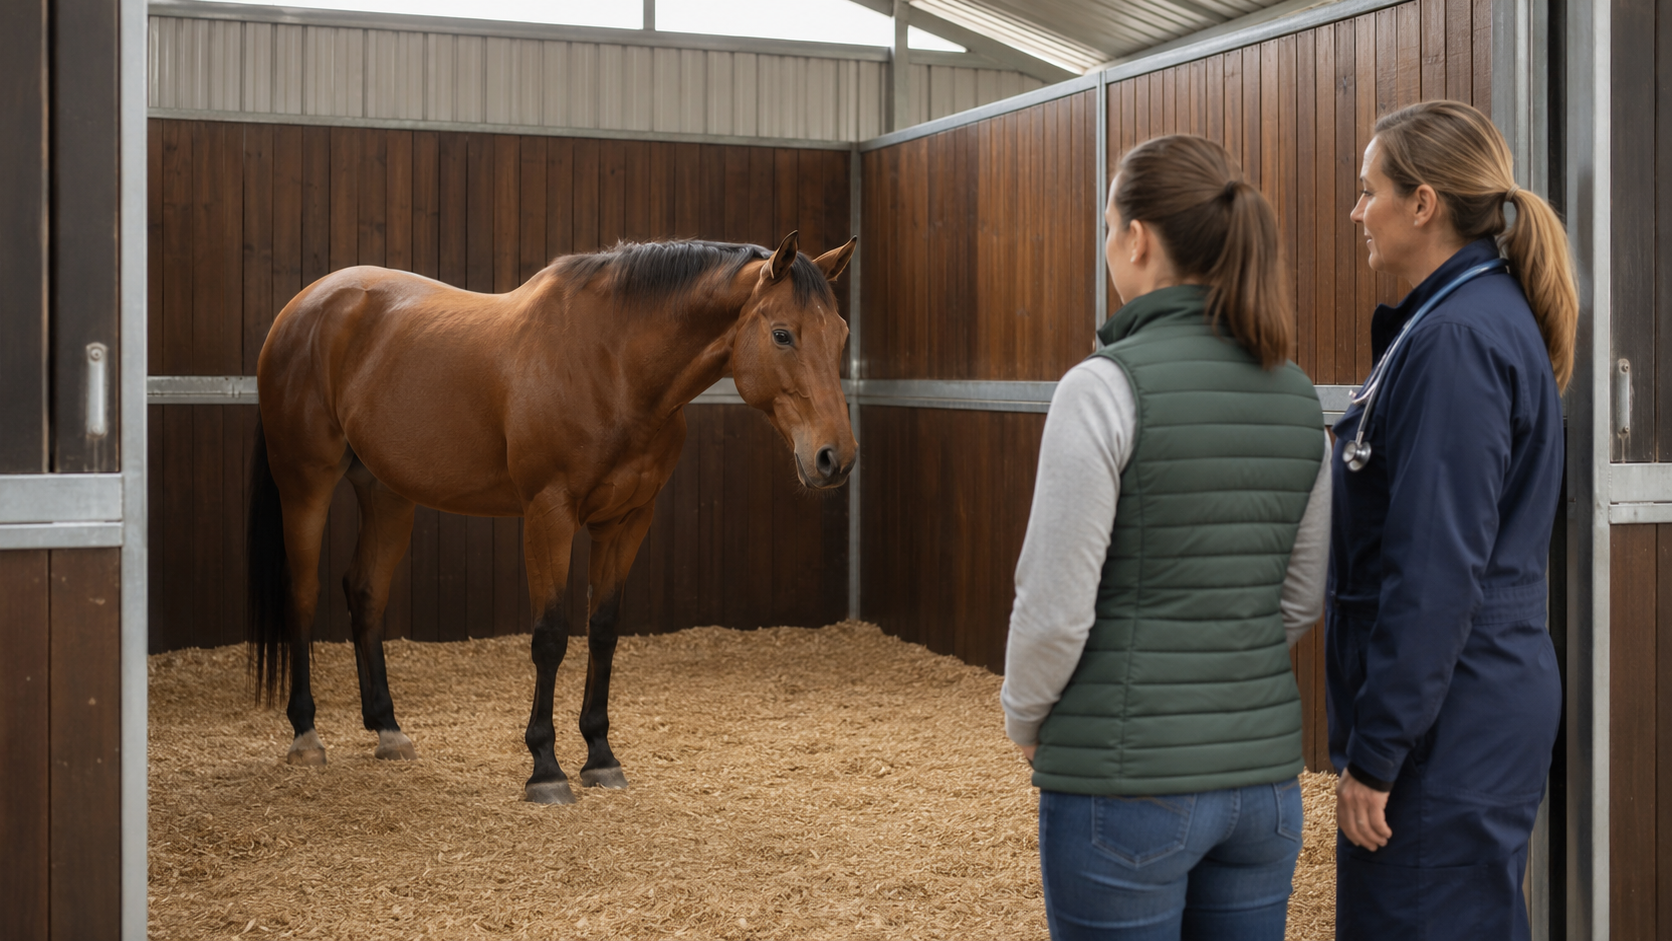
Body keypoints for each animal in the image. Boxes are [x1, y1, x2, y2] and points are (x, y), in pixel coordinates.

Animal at [246, 231, 857, 804]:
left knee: (366, 591)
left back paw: (387, 730)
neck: (612, 365)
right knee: (302, 593)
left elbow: (603, 631)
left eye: (843, 334)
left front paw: (601, 757)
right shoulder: (548, 514)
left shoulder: (627, 520)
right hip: (305, 483)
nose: (836, 458)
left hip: (386, 492)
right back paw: (306, 735)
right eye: (782, 334)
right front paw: (546, 768)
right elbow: (551, 636)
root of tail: (303, 307)